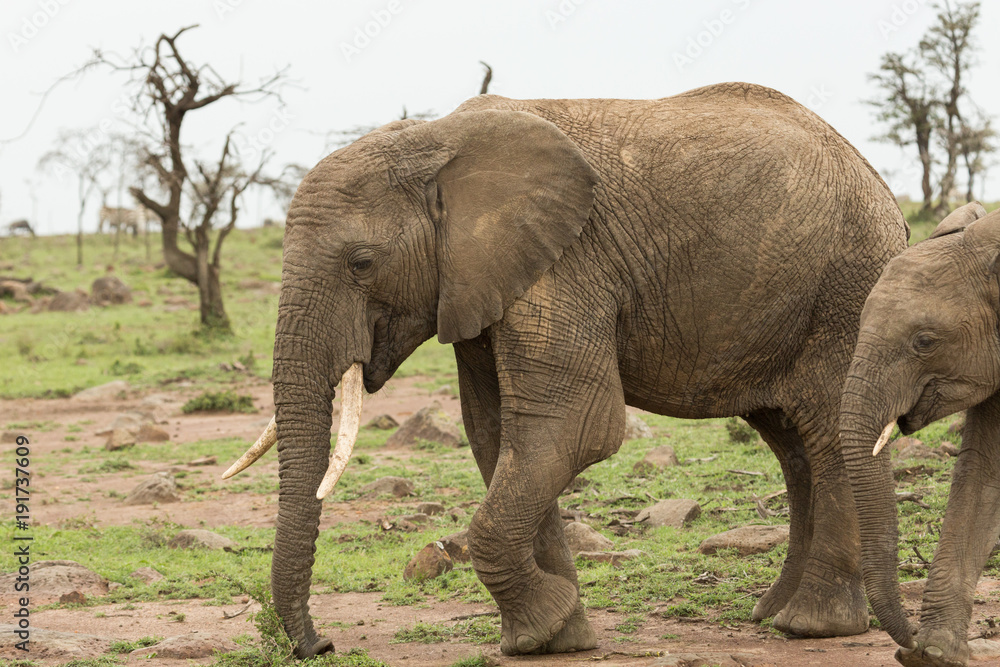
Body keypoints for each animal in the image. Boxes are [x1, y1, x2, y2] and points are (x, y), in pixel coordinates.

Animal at [223, 82, 908, 657]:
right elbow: (501, 436)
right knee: (791, 445)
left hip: (847, 287)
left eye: (362, 263)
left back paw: (811, 626)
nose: (321, 645)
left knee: (828, 434)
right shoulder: (484, 280)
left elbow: (571, 429)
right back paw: (772, 614)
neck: (437, 141)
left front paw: (543, 626)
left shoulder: (565, 264)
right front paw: (554, 639)